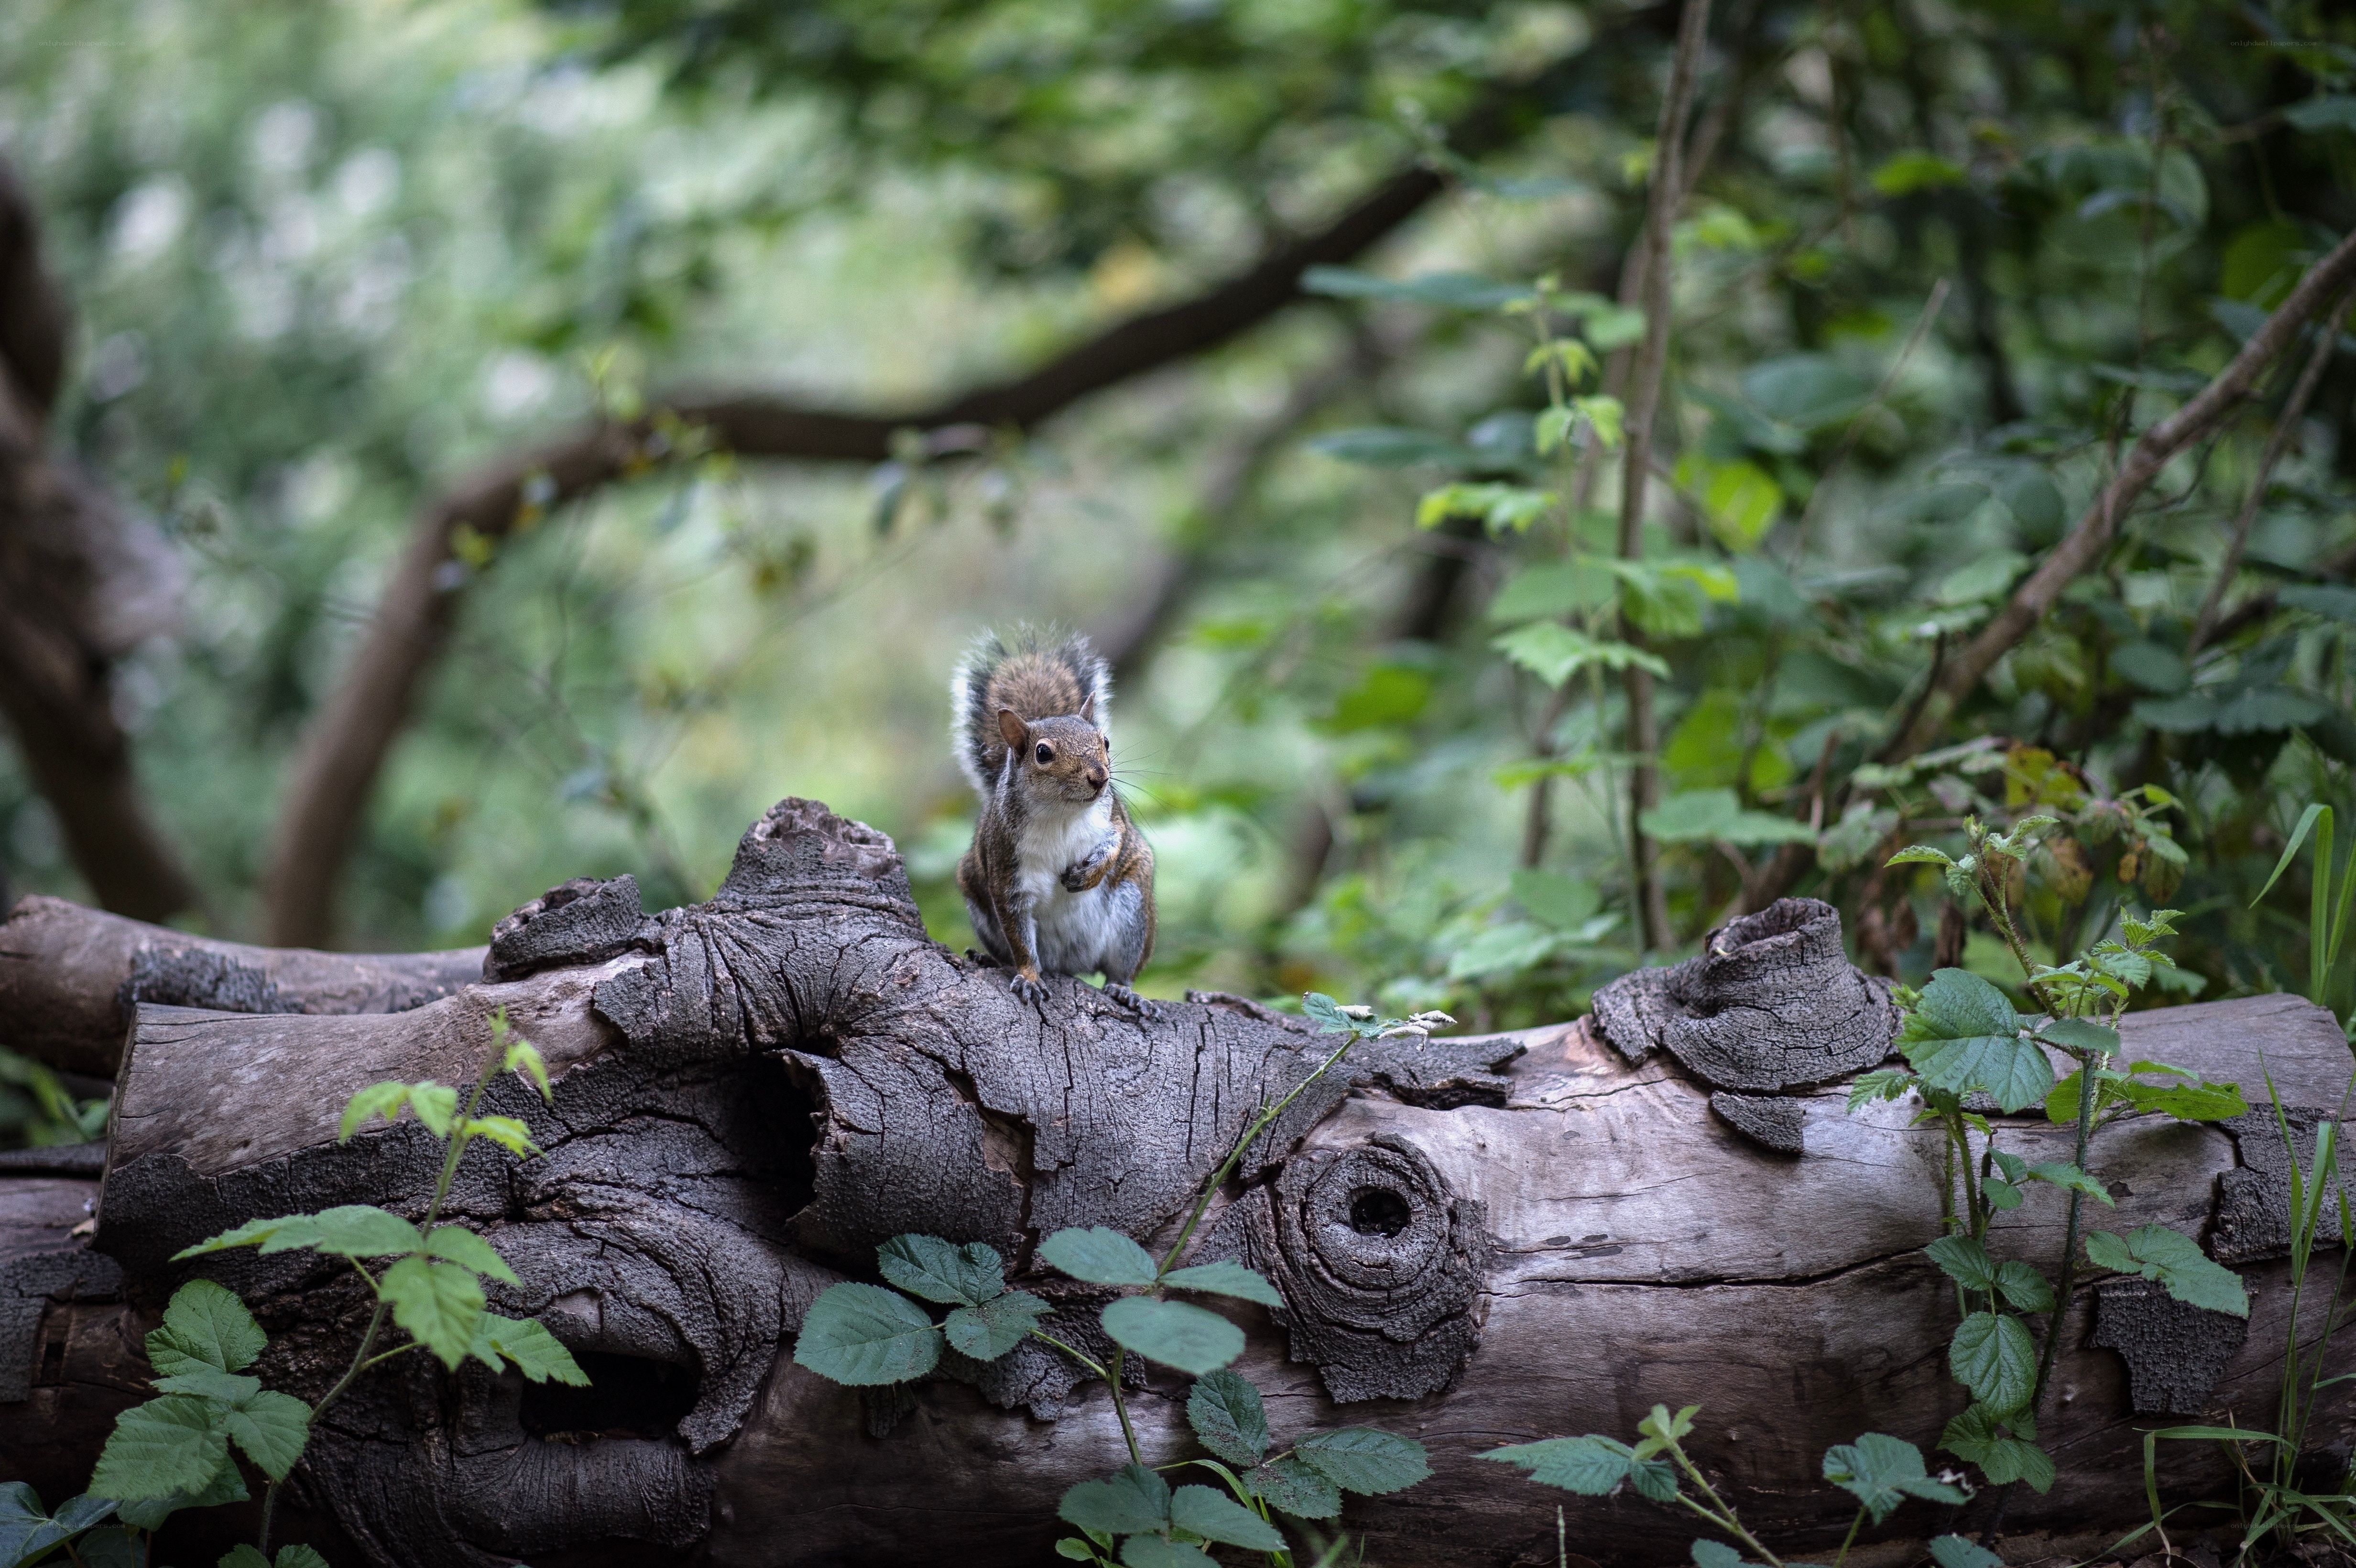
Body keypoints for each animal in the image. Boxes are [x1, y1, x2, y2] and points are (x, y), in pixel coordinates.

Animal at [951, 629, 1157, 1013]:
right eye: (1043, 753)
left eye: (1105, 741)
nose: (1100, 778)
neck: (1061, 812)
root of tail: (1070, 963)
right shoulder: (1007, 870)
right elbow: (1020, 941)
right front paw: (1030, 978)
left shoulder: (1113, 815)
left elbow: (1117, 840)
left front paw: (1088, 874)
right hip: (976, 896)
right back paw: (992, 959)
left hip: (1134, 908)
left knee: (1121, 970)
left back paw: (1126, 991)